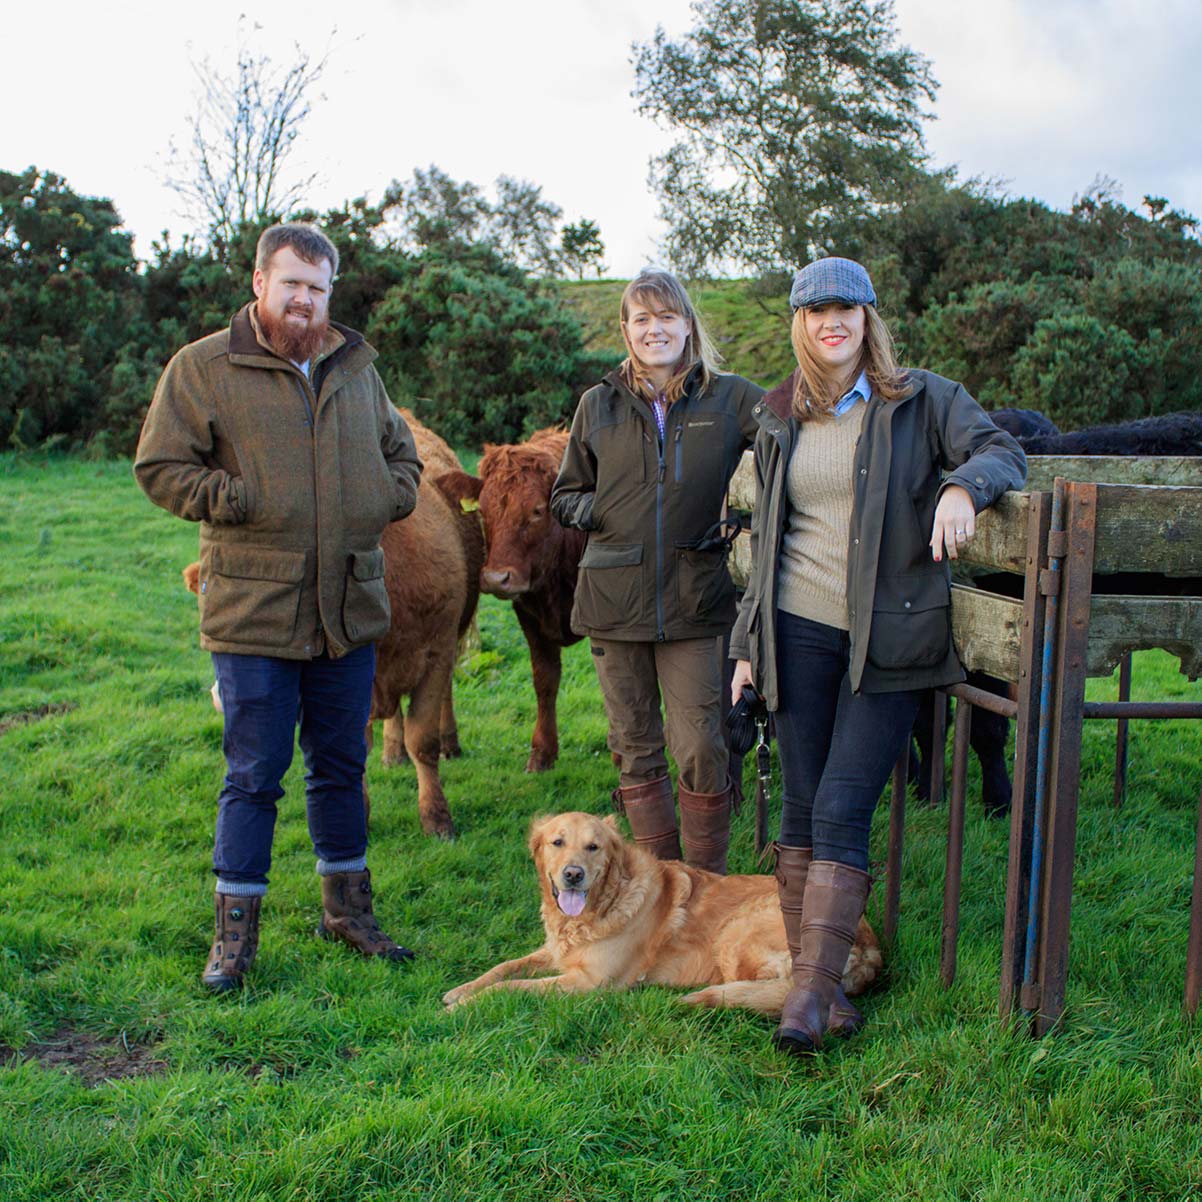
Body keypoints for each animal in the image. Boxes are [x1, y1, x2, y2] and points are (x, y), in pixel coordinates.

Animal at [444, 427, 588, 774]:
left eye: (537, 511)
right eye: (483, 510)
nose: (497, 578)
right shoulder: (528, 616)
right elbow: (545, 680)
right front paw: (543, 752)